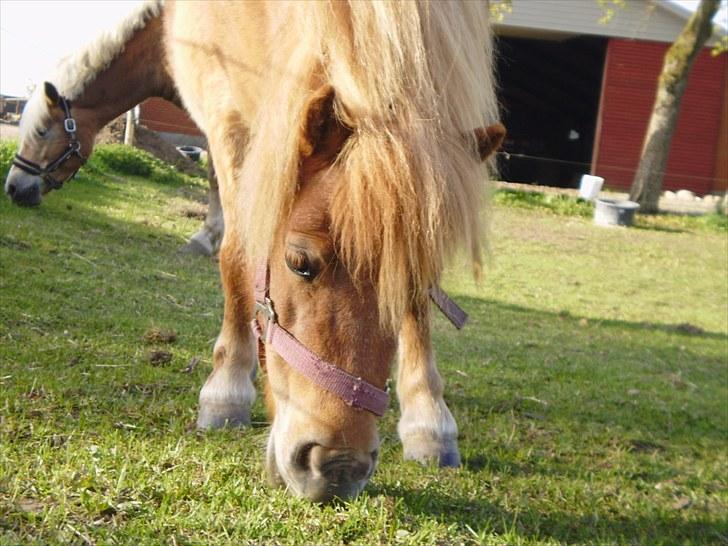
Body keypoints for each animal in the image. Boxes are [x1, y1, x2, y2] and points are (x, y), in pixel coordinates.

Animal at [165, 1, 504, 502]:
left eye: (417, 281)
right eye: (299, 263)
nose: (340, 467)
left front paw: (429, 422)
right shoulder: (224, 109)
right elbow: (237, 253)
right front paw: (225, 392)